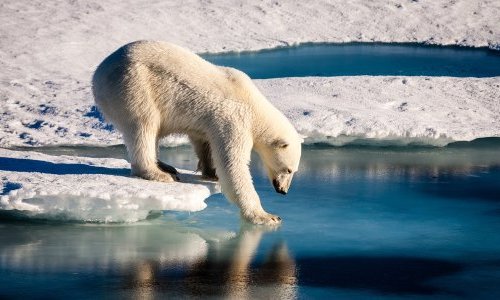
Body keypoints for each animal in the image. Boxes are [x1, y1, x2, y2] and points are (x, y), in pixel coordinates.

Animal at [92, 41, 302, 225]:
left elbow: (203, 141)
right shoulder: (234, 120)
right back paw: (159, 173)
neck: (254, 106)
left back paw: (166, 166)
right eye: (288, 170)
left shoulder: (209, 122)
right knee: (144, 126)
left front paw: (211, 172)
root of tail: (98, 74)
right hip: (133, 86)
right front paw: (267, 216)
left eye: (293, 171)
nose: (283, 191)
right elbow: (233, 165)